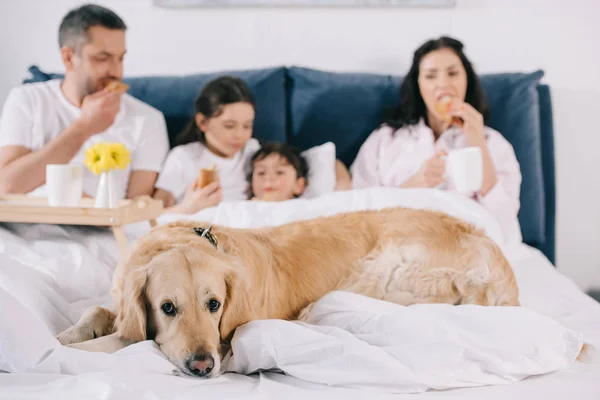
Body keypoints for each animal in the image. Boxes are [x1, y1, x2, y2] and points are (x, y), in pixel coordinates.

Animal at [58, 206, 524, 378]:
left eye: (215, 305)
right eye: (167, 307)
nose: (203, 366)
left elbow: (123, 341)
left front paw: (76, 348)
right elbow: (100, 312)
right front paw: (69, 334)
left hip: (380, 275)